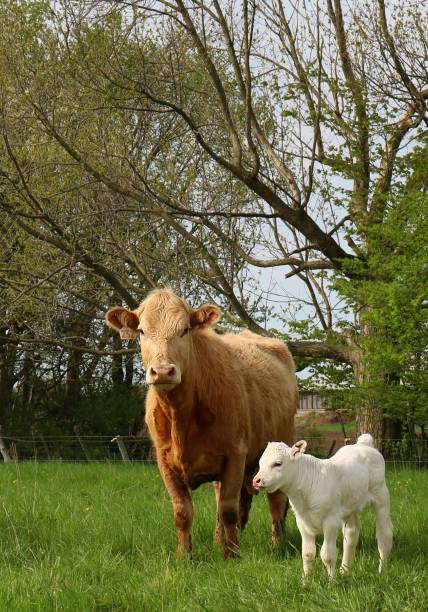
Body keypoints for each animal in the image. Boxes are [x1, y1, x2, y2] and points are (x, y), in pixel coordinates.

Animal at [106, 290, 298, 556]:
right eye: (142, 331)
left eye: (185, 329)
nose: (163, 371)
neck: (182, 417)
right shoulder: (164, 460)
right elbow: (183, 512)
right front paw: (184, 555)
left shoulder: (235, 454)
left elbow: (228, 511)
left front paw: (232, 555)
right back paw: (218, 542)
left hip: (280, 444)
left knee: (275, 503)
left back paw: (277, 545)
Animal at [252, 436, 392, 580]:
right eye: (260, 463)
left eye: (278, 463)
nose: (256, 480)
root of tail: (364, 444)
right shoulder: (301, 521)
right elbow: (307, 553)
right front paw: (305, 580)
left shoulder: (330, 520)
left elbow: (327, 555)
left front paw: (332, 581)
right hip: (350, 505)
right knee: (351, 536)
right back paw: (344, 571)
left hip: (381, 495)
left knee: (384, 535)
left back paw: (382, 571)